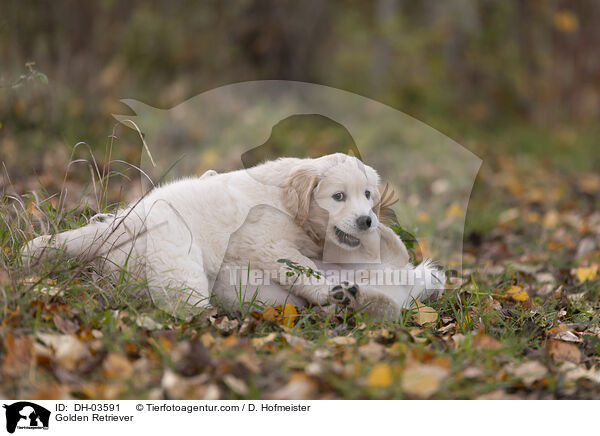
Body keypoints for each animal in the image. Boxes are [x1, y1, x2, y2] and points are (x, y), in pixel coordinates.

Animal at [22, 154, 446, 320]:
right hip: (181, 268)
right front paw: (327, 289)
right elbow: (300, 268)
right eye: (338, 196)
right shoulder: (267, 243)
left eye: (368, 195)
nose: (366, 220)